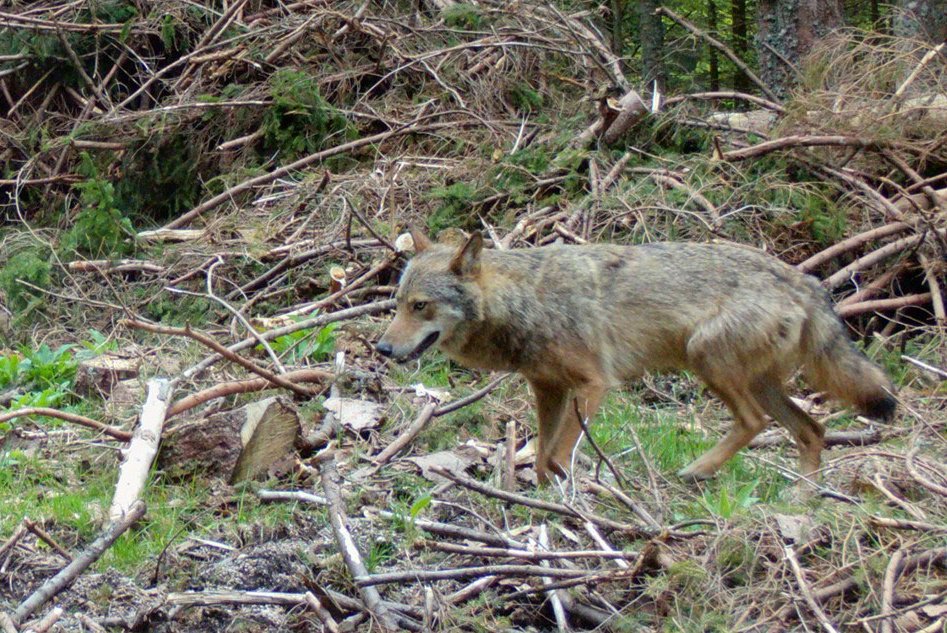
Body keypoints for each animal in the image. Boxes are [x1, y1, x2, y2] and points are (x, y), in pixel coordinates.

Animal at [376, 229, 896, 485]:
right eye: (397, 304)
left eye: (420, 306)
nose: (381, 348)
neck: (525, 301)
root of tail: (804, 280)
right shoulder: (548, 390)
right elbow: (541, 458)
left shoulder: (593, 385)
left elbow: (556, 457)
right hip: (760, 384)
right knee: (813, 431)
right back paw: (805, 502)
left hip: (706, 359)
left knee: (755, 423)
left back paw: (698, 471)